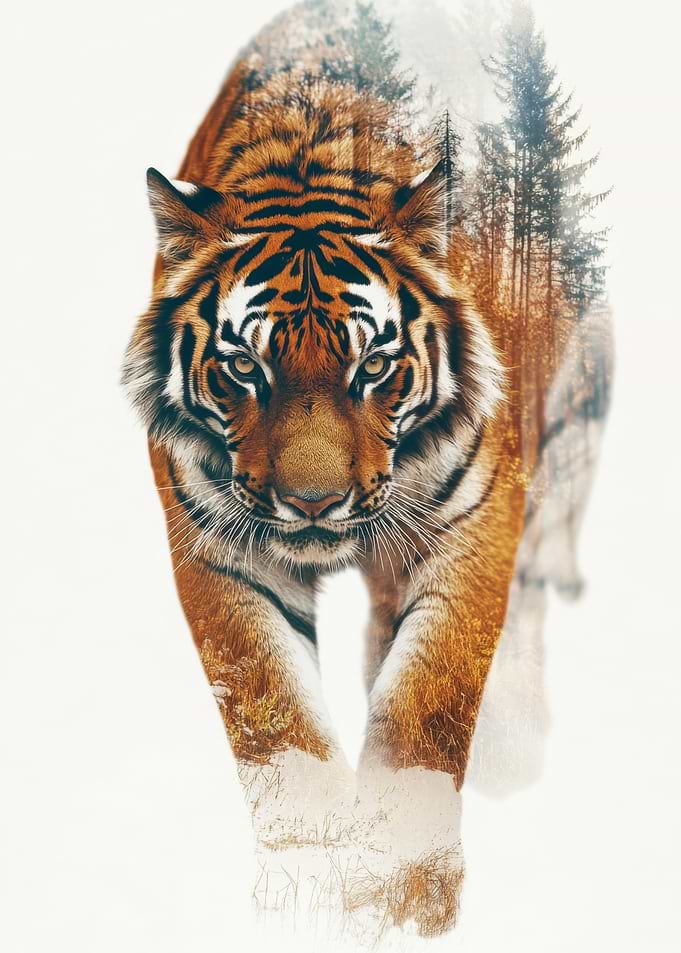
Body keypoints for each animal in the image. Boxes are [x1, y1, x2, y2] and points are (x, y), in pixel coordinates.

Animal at [123, 0, 611, 938]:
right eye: (244, 368)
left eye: (373, 366)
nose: (312, 503)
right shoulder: (219, 549)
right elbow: (277, 723)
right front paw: (308, 888)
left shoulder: (472, 531)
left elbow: (426, 701)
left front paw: (405, 888)